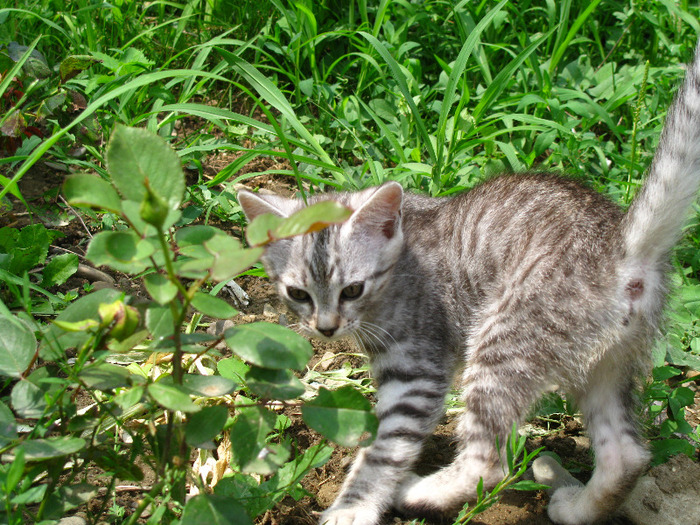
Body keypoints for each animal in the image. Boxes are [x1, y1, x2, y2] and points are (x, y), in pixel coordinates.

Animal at [238, 46, 700, 524]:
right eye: (298, 294)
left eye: (352, 290)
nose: (325, 328)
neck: (402, 258)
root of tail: (619, 245)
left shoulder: (416, 369)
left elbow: (384, 450)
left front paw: (353, 507)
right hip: (607, 364)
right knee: (626, 455)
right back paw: (573, 504)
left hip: (504, 340)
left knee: (489, 461)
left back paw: (417, 493)